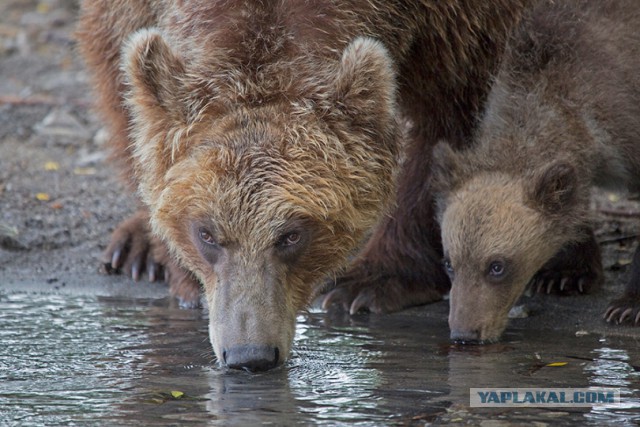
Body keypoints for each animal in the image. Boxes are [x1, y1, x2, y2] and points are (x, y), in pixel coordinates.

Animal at [76, 0, 524, 372]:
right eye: (206, 234)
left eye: (291, 235)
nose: (250, 355)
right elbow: (121, 71)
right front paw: (177, 266)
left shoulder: (457, 24)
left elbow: (449, 112)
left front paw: (374, 281)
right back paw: (136, 250)